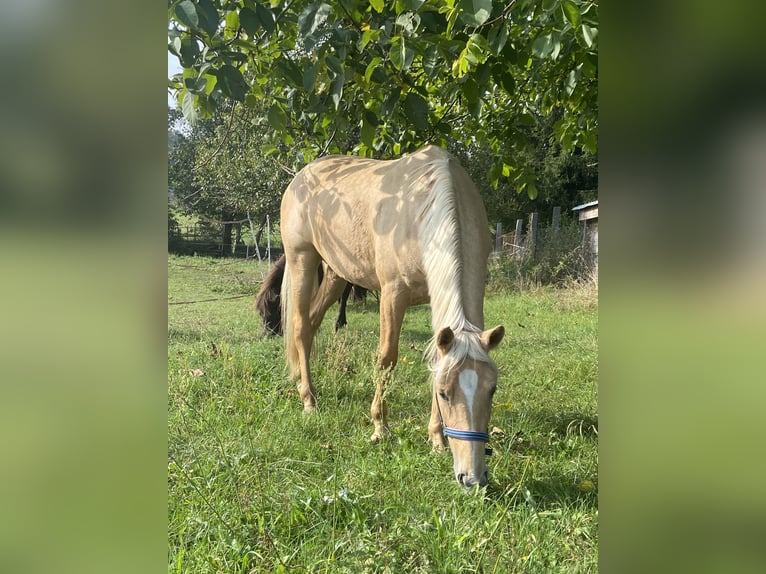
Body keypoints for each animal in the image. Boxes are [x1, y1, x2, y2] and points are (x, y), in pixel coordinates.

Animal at [280, 146, 504, 488]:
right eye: (444, 393)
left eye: (491, 390)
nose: (472, 477)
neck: (423, 208)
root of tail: (301, 176)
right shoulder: (392, 294)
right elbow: (386, 358)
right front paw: (380, 427)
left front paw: (437, 438)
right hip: (302, 261)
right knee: (301, 327)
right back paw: (309, 400)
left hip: (336, 274)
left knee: (312, 324)